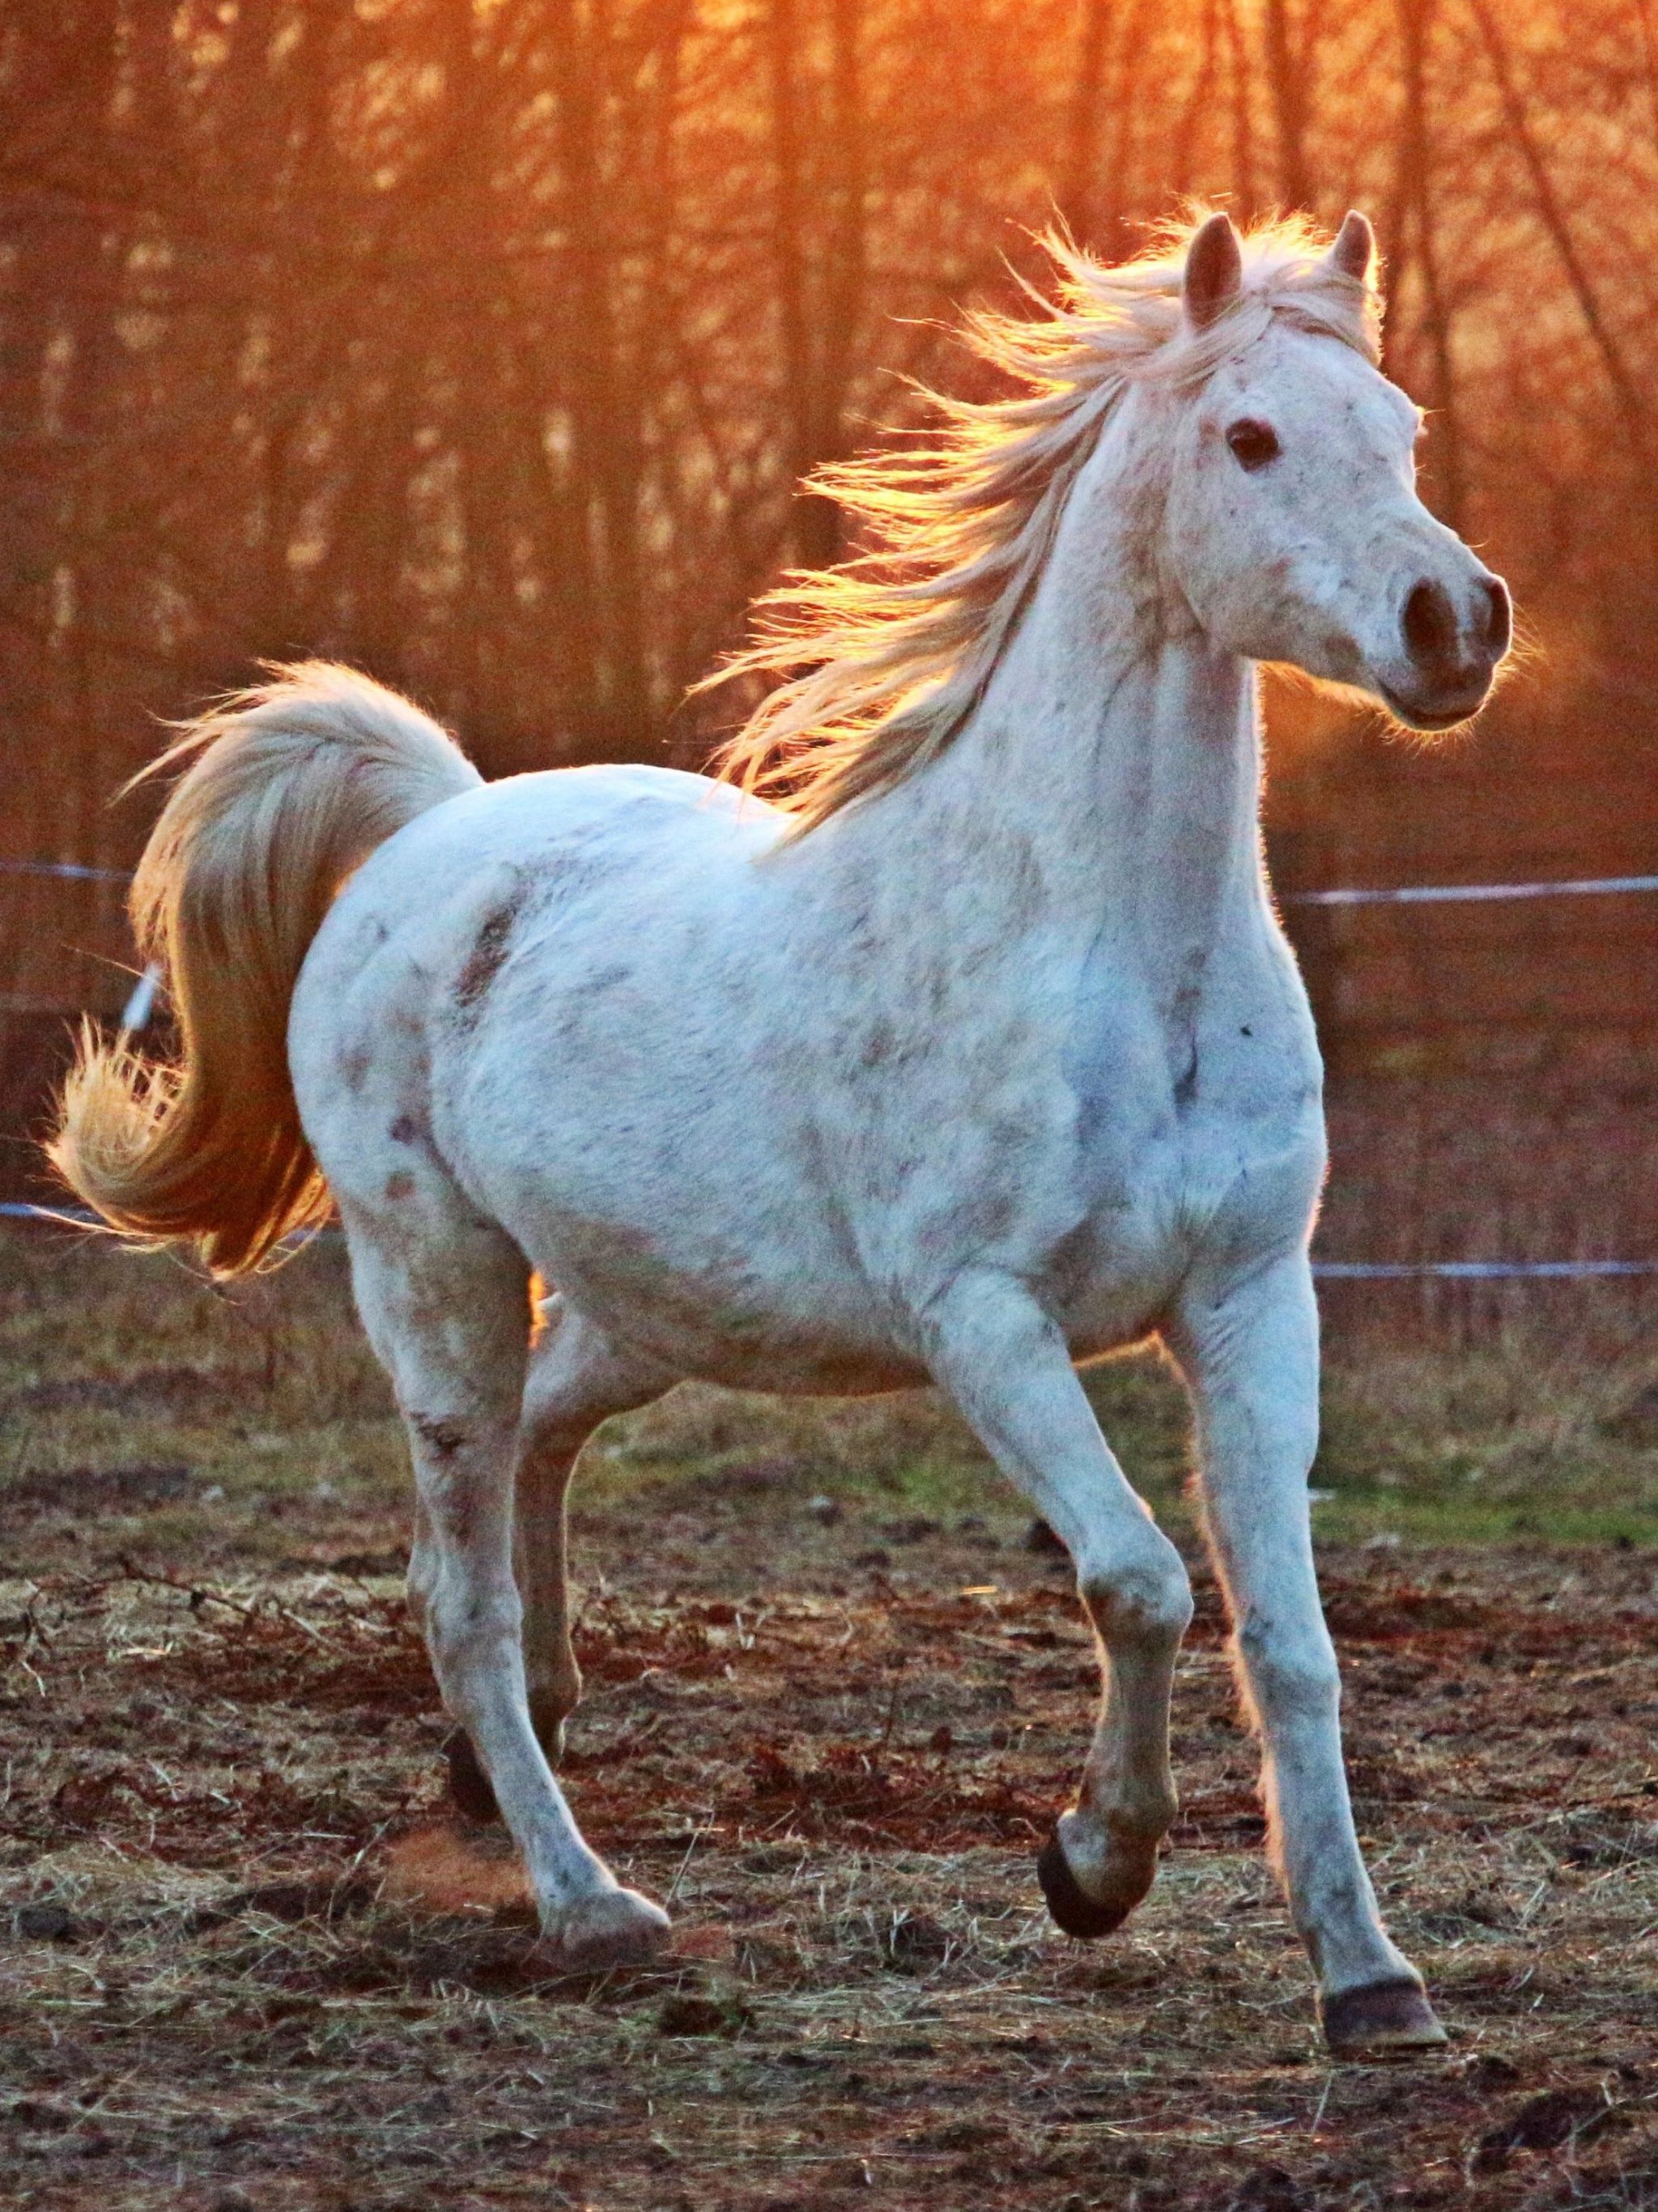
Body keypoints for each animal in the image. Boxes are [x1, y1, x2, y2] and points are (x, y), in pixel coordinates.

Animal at [52, 209, 1510, 2055]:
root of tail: (435, 827)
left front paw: (1370, 1981)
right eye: (1247, 438)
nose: (1452, 622)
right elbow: (1140, 1581)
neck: (1113, 952)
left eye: (1397, 426)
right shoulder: (985, 1321)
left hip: (651, 1307)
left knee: (537, 1452)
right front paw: (1089, 1866)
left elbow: (1294, 1642)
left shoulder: (1251, 1300)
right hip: (436, 1281)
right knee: (458, 1588)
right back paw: (590, 1902)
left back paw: (507, 1751)